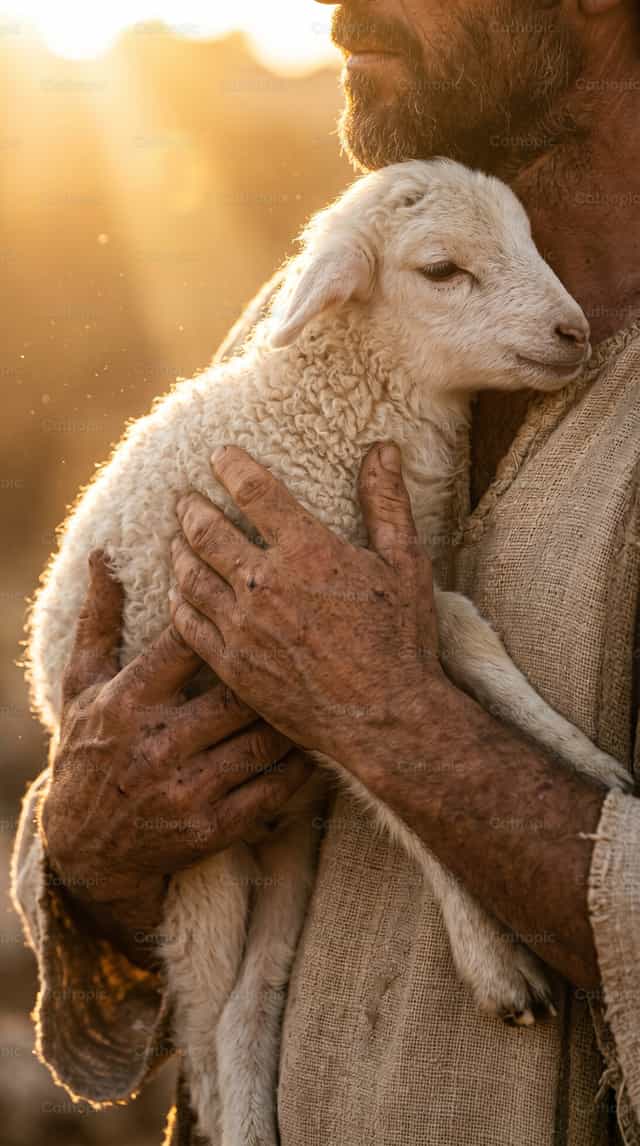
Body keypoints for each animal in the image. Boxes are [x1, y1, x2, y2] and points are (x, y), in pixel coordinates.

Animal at [28, 158, 629, 1146]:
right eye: (440, 270)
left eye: (530, 236)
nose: (572, 333)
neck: (338, 409)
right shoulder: (266, 666)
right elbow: (396, 794)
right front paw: (493, 963)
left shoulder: (390, 593)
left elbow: (462, 634)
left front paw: (583, 758)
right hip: (195, 859)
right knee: (203, 1032)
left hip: (282, 853)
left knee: (249, 1007)